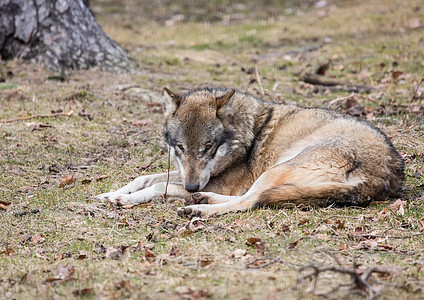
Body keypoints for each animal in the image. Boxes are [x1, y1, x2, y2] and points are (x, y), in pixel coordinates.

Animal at [95, 87, 404, 218]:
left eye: (208, 148)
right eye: (181, 148)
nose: (192, 186)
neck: (248, 134)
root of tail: (383, 176)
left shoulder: (215, 181)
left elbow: (158, 186)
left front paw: (124, 200)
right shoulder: (187, 175)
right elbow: (145, 178)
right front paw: (111, 193)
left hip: (277, 169)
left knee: (251, 200)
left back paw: (197, 207)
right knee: (252, 197)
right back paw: (200, 200)